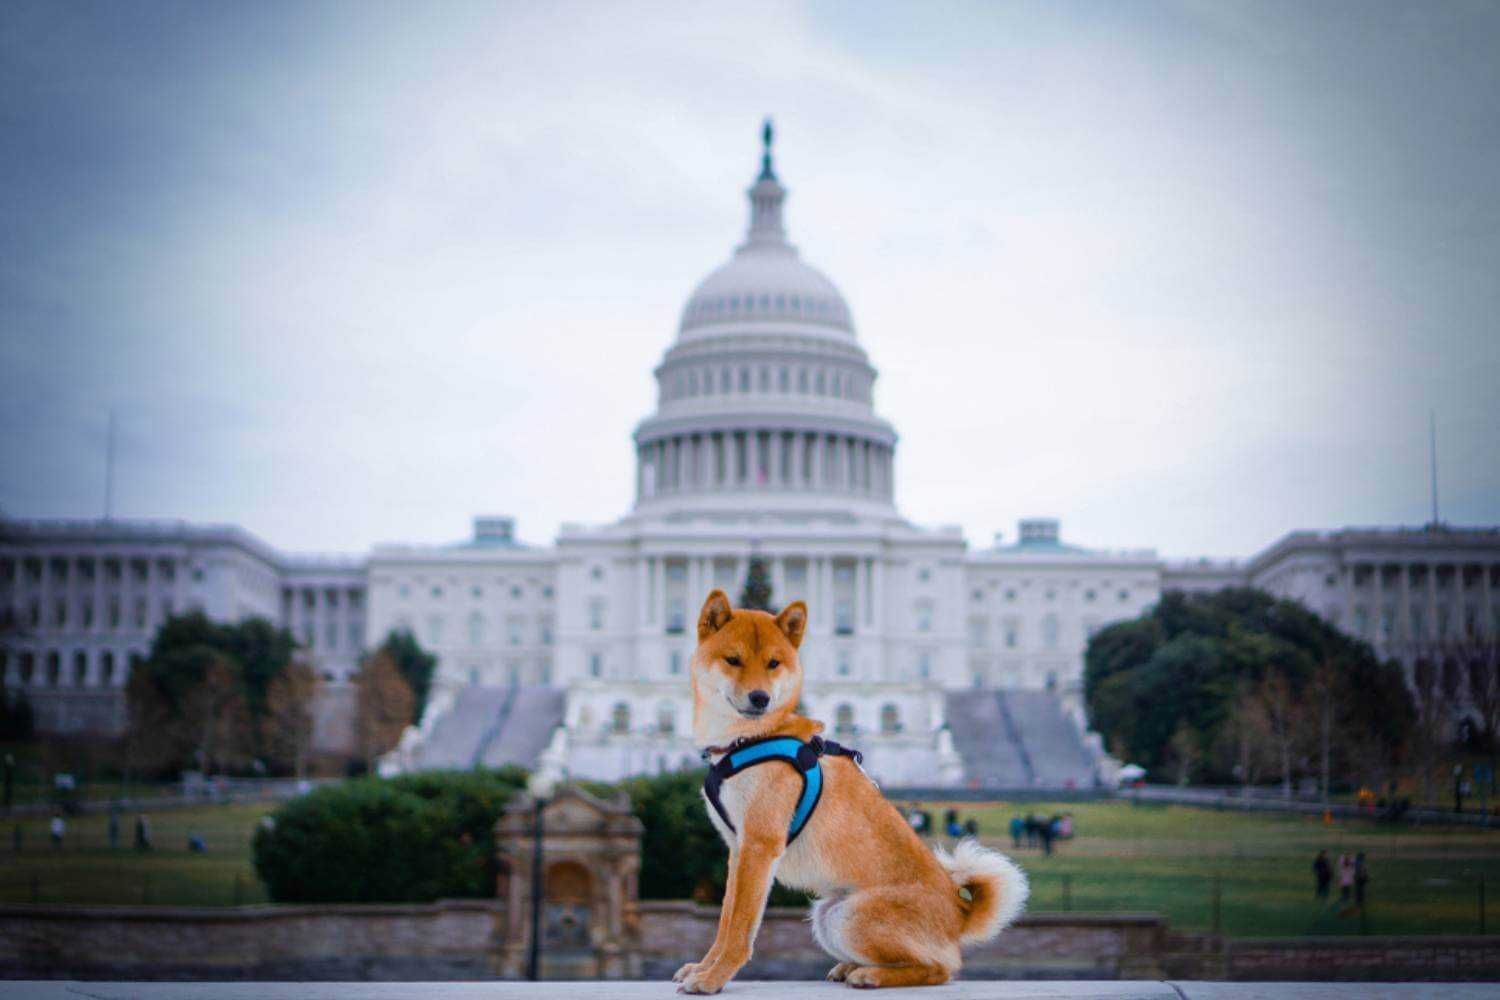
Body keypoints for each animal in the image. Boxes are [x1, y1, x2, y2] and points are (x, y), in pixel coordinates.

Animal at [675, 590, 1026, 989]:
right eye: (733, 660)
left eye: (773, 663)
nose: (760, 698)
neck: (750, 739)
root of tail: (958, 912)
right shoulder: (739, 849)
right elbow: (725, 920)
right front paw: (705, 968)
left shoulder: (760, 847)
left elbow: (740, 928)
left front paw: (715, 978)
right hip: (828, 914)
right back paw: (850, 968)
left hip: (852, 916)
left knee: (941, 968)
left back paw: (870, 975)